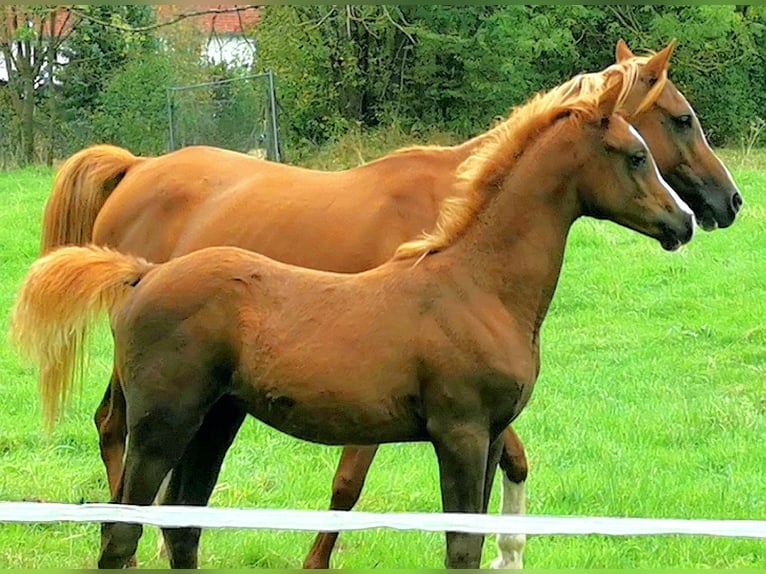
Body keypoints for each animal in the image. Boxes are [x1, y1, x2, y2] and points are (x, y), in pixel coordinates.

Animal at [39, 39, 740, 572]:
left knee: (182, 526)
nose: (700, 215)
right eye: (649, 143)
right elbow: (446, 539)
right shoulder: (458, 433)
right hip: (163, 423)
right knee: (122, 520)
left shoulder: (488, 436)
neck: (475, 283)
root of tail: (143, 273)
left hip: (215, 421)